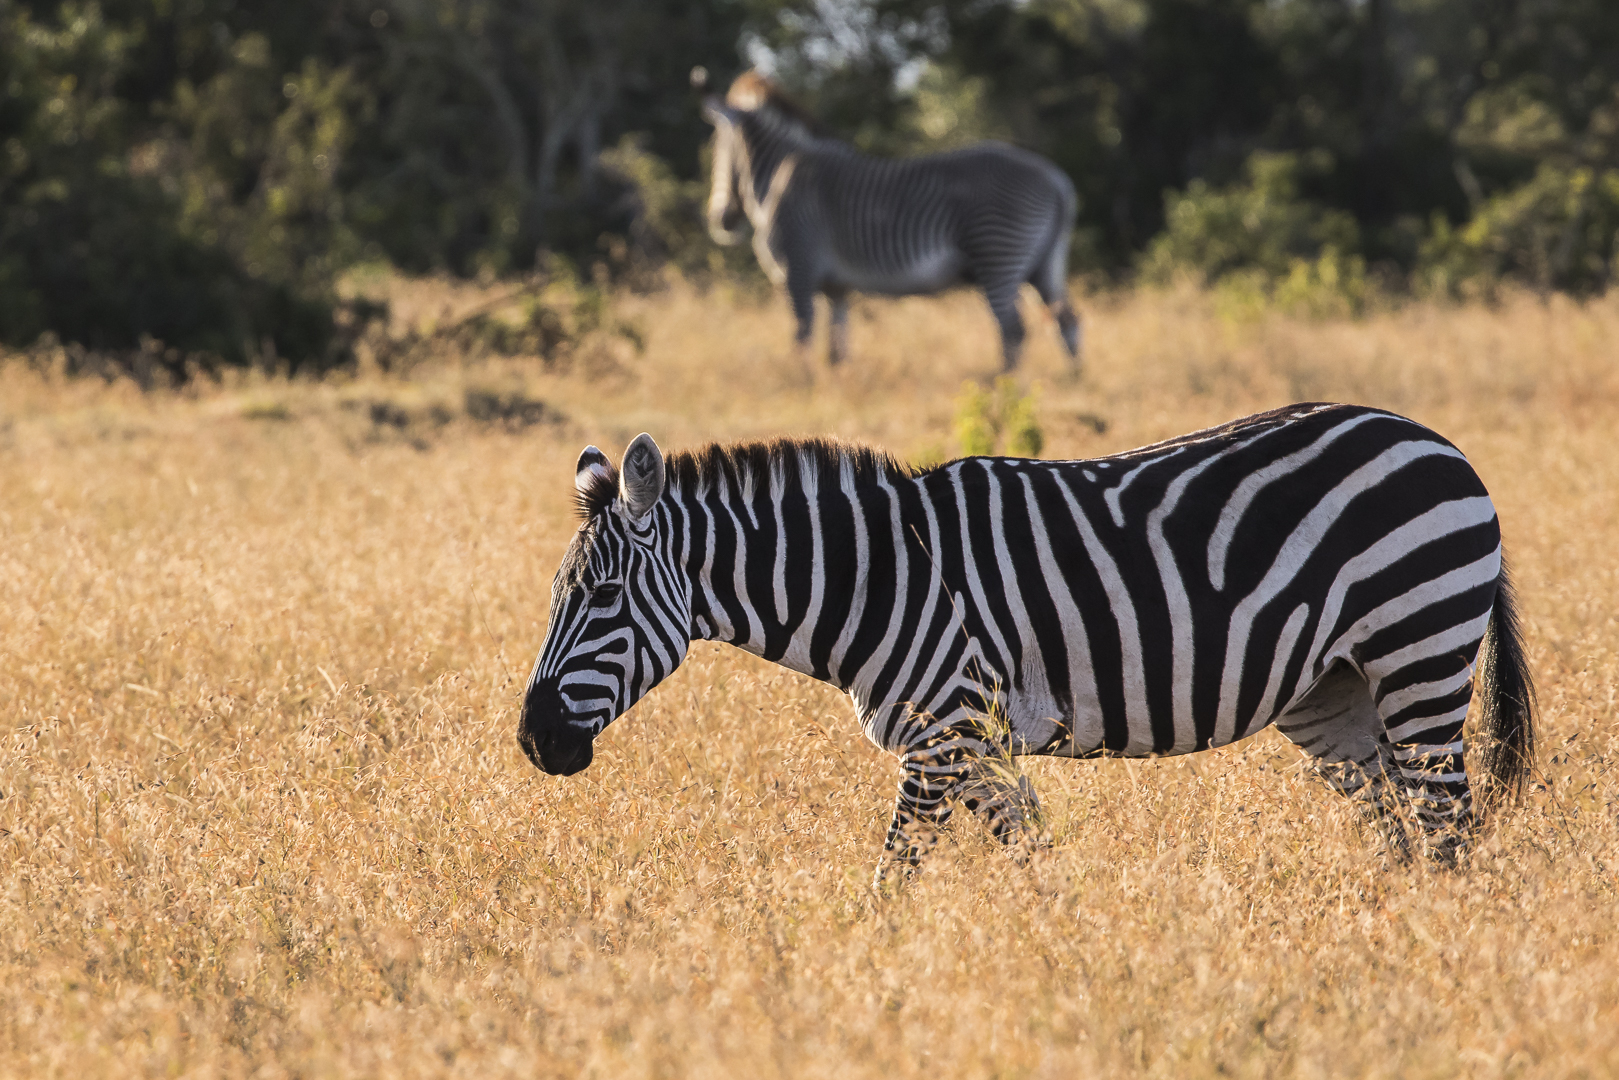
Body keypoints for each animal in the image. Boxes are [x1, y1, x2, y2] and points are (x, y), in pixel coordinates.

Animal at [518, 404, 1528, 887]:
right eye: (561, 597)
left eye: (601, 598)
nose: (534, 742)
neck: (879, 576)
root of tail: (1435, 441)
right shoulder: (973, 746)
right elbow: (1034, 855)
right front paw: (1069, 951)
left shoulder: (942, 733)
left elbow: (891, 876)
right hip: (1333, 695)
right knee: (1399, 827)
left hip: (1418, 647)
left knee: (1445, 820)